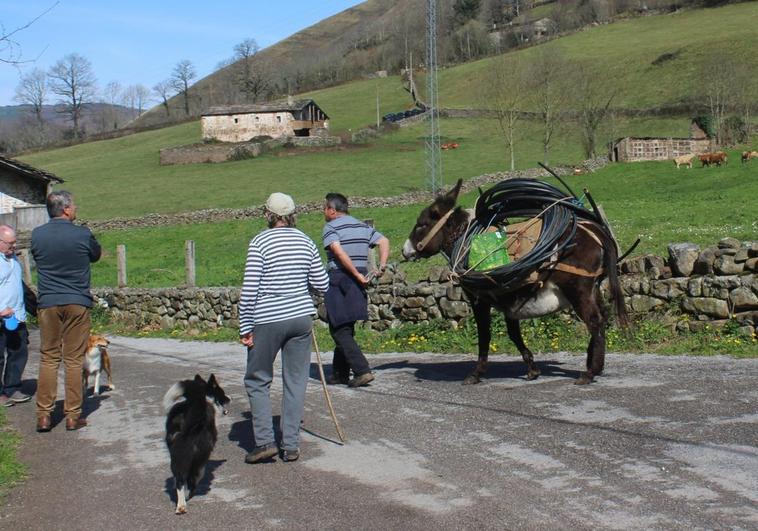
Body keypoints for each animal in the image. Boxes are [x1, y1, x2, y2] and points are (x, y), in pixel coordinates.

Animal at [162, 374, 230, 516]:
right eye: (222, 393)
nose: (230, 398)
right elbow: (198, 475)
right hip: (197, 456)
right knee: (191, 478)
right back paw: (187, 498)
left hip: (177, 456)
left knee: (180, 481)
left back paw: (181, 505)